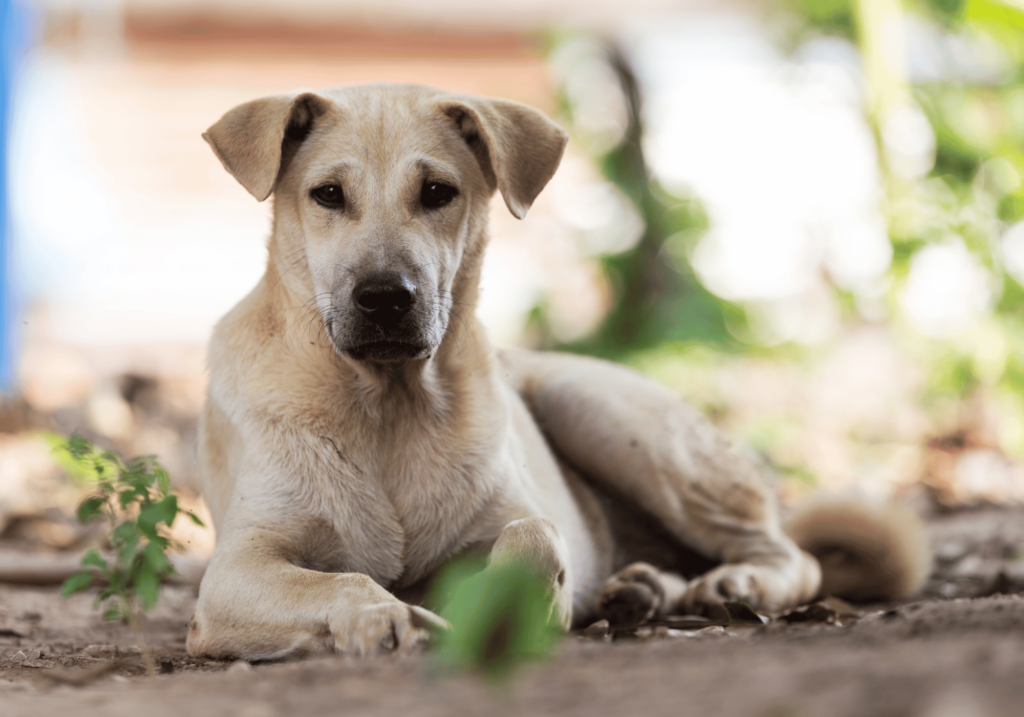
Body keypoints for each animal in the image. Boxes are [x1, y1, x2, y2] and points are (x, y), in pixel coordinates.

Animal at [184, 81, 929, 659]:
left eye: (437, 192)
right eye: (328, 194)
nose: (386, 297)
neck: (388, 407)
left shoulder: (521, 518)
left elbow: (533, 535)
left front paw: (507, 605)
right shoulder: (235, 571)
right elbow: (335, 580)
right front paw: (382, 614)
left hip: (615, 419)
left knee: (794, 555)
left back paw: (726, 584)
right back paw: (641, 590)